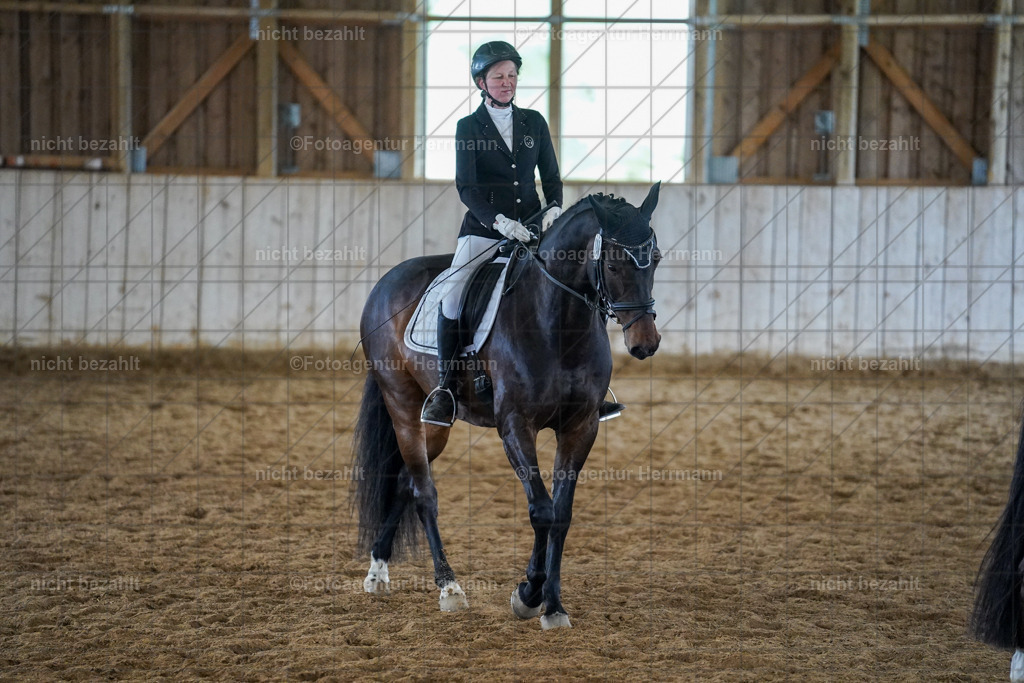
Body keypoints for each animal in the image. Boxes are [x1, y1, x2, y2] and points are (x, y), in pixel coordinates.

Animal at [350, 183, 663, 629]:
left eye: (656, 259)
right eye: (615, 264)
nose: (645, 343)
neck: (558, 323)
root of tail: (386, 283)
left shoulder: (581, 427)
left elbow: (562, 515)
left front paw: (553, 605)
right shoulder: (516, 425)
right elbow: (541, 510)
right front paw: (529, 595)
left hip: (435, 425)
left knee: (406, 482)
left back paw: (378, 571)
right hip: (403, 406)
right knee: (424, 492)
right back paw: (449, 587)